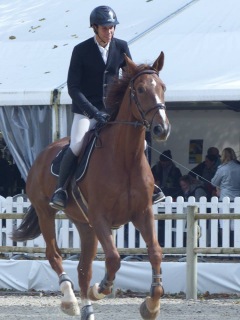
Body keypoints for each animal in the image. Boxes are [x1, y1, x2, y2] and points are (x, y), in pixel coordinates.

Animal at [11, 53, 171, 320]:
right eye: (140, 89)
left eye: (163, 87)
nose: (162, 129)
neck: (125, 159)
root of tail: (43, 153)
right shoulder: (100, 217)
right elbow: (114, 258)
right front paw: (101, 288)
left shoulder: (142, 212)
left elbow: (155, 252)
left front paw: (151, 305)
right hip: (47, 213)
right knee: (54, 256)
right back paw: (70, 301)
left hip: (84, 225)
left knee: (83, 267)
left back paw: (87, 309)